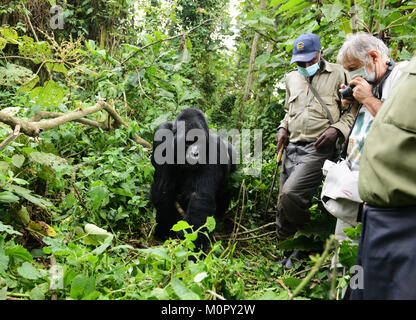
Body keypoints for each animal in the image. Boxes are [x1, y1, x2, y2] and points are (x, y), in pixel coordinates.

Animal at [150, 107, 236, 248]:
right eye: (188, 142)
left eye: (199, 142)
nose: (195, 153)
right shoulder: (162, 135)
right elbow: (163, 190)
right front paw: (166, 230)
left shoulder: (215, 148)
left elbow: (200, 199)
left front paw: (191, 246)